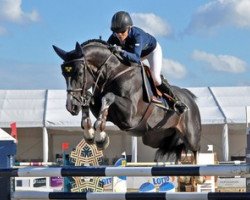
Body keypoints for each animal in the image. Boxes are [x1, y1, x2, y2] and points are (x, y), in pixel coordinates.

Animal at [52, 39, 201, 162]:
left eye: (79, 73)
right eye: (63, 74)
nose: (71, 106)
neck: (113, 73)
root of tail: (190, 97)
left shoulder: (130, 114)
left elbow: (109, 97)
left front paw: (100, 137)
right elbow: (90, 100)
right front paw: (89, 133)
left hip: (192, 137)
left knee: (195, 152)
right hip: (153, 137)